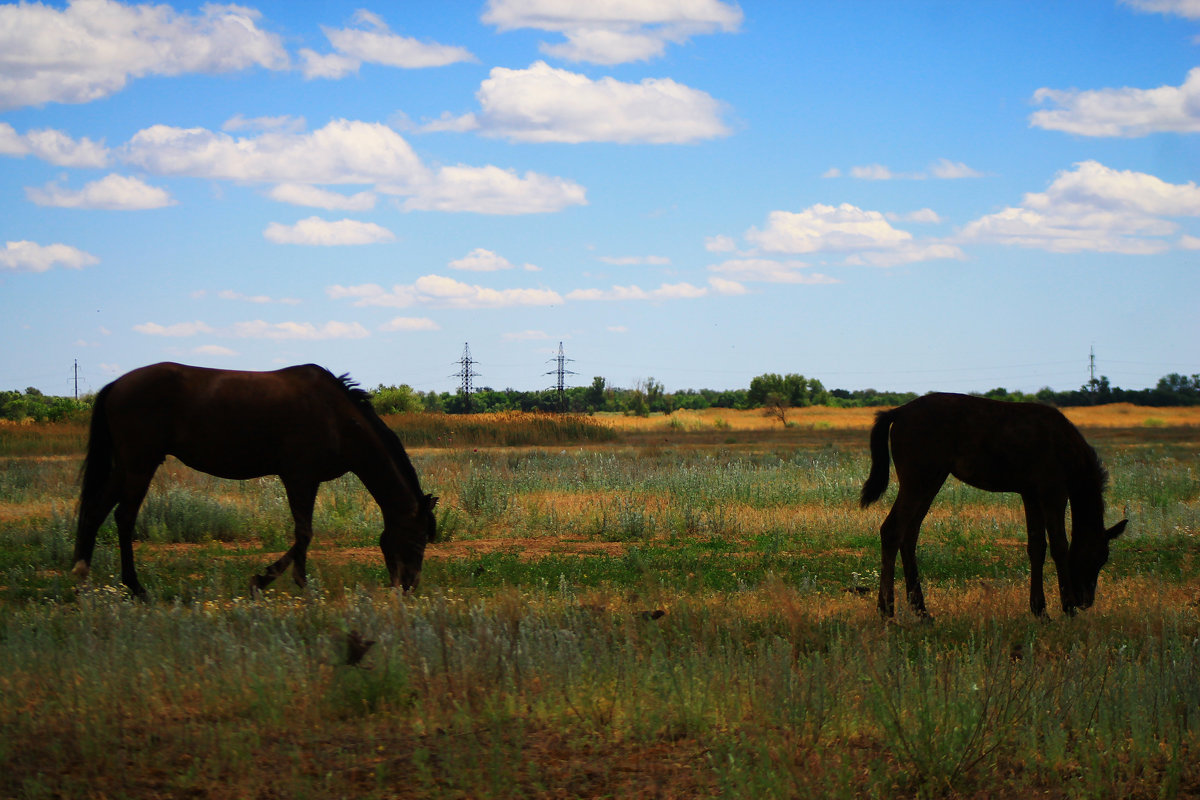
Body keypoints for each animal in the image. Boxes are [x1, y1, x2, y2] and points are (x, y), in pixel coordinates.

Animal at [71, 367, 436, 597]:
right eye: (418, 537)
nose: (409, 586)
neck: (336, 416)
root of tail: (116, 385)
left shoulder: (304, 479)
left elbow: (303, 534)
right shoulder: (300, 477)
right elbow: (304, 533)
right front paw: (276, 582)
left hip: (126, 467)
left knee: (96, 512)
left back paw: (82, 578)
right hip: (139, 466)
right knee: (124, 518)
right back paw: (136, 588)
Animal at [864, 393, 1123, 618]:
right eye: (1098, 557)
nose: (1085, 600)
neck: (1068, 450)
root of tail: (898, 412)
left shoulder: (1030, 494)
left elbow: (1037, 546)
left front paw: (1040, 610)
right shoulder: (1053, 491)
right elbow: (1059, 545)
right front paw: (1067, 609)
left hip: (932, 480)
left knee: (910, 534)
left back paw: (922, 611)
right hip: (919, 479)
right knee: (892, 530)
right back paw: (886, 611)